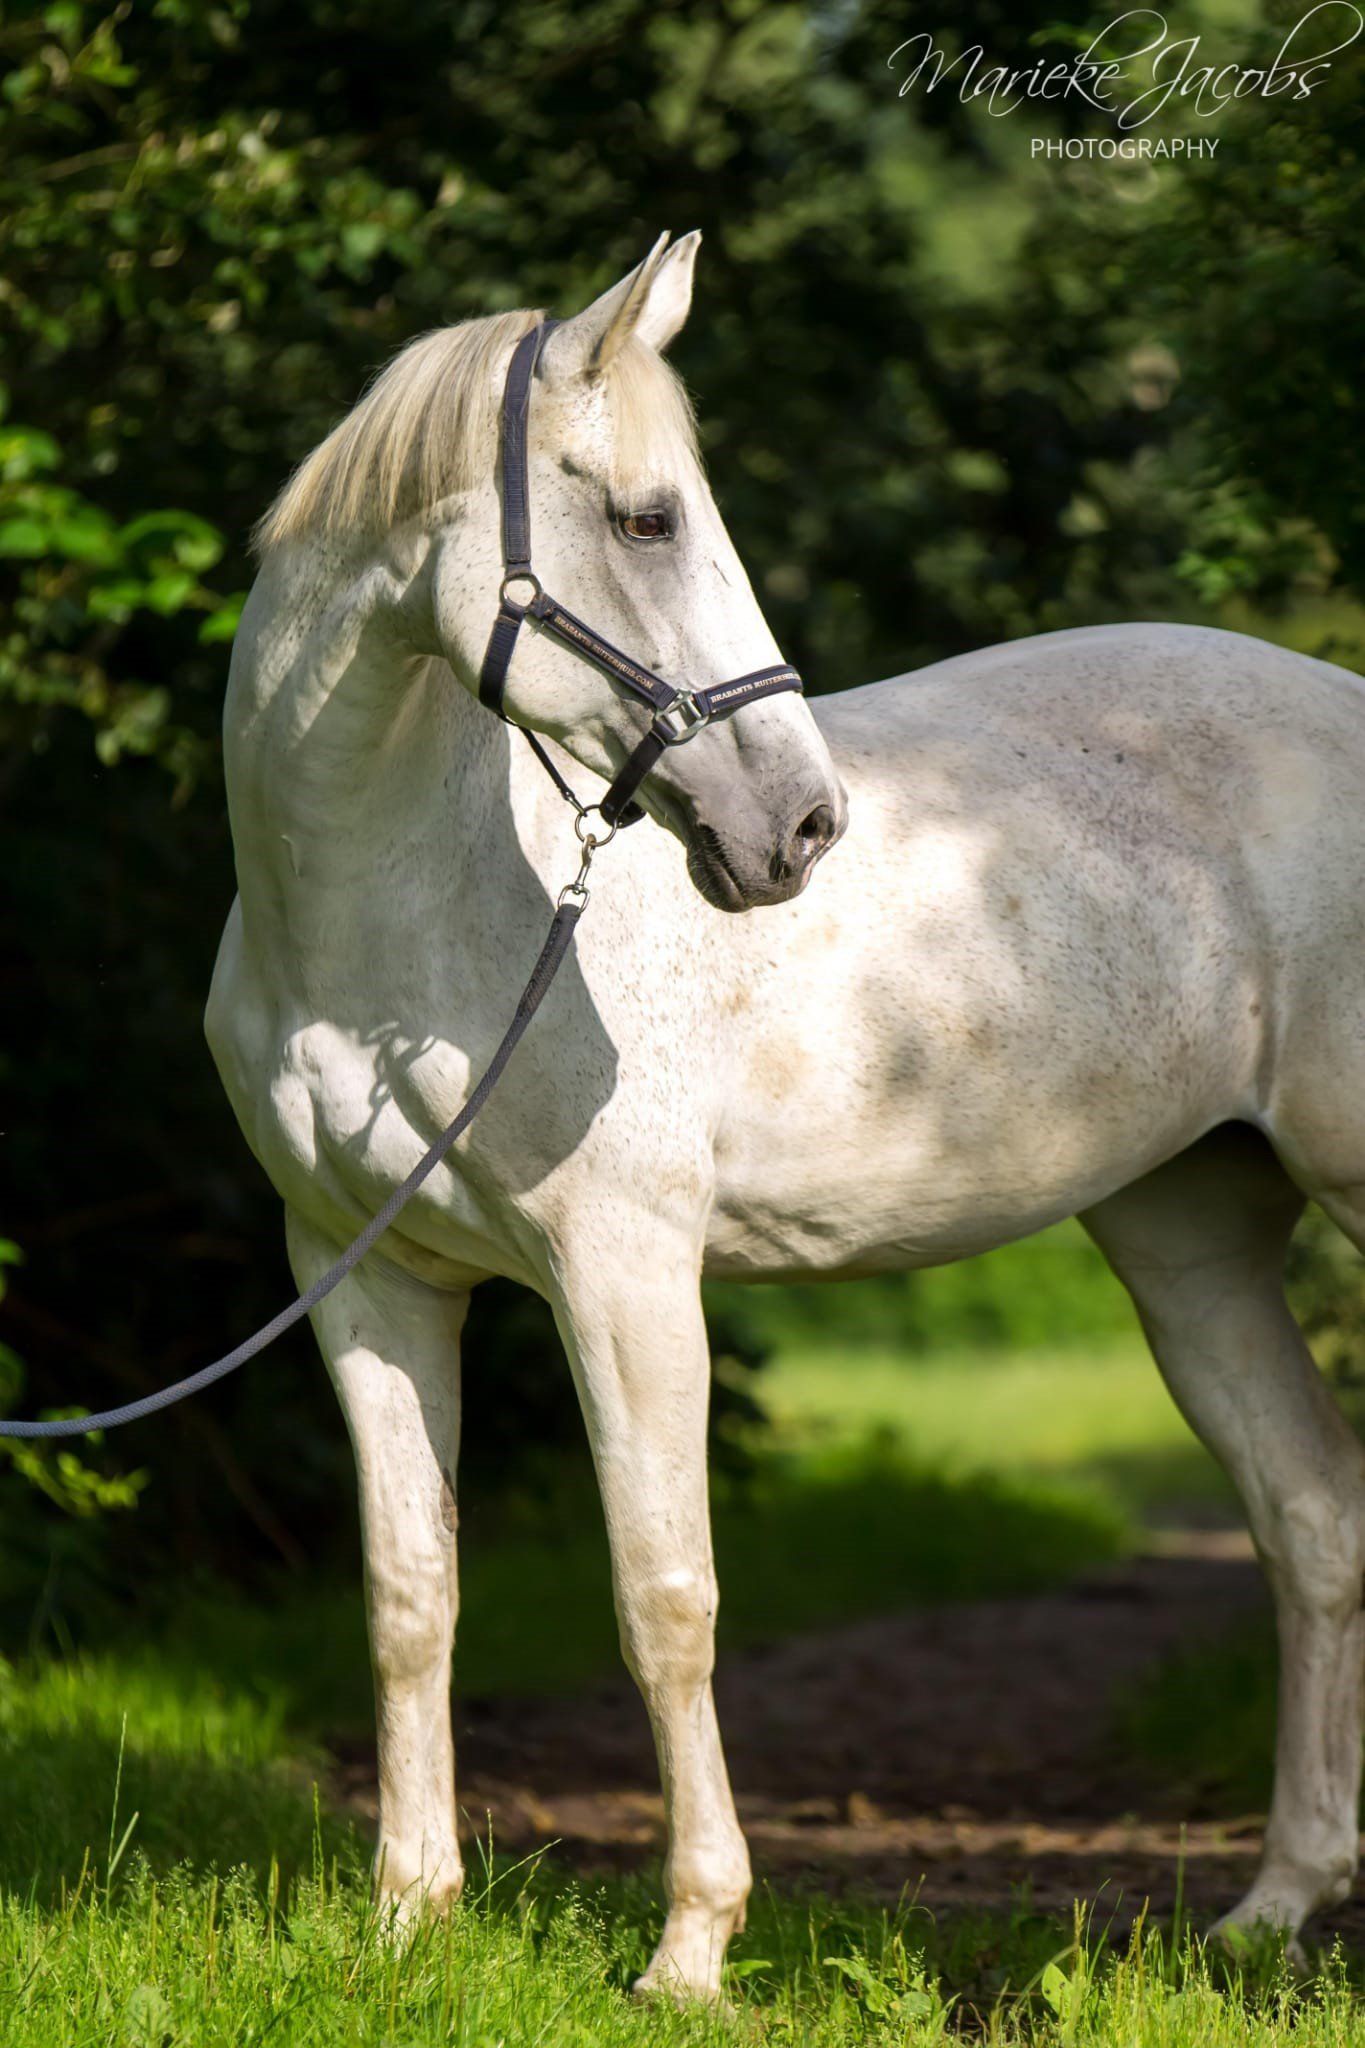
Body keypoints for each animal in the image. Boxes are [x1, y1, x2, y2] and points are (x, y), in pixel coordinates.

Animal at [207, 230, 1365, 2000]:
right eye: (645, 519)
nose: (802, 825)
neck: (389, 912)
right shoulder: (363, 1276)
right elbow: (412, 1590)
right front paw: (408, 1920)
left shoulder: (624, 1280)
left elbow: (665, 1597)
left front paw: (689, 1949)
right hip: (1190, 1243)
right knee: (1310, 1521)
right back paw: (1277, 1904)